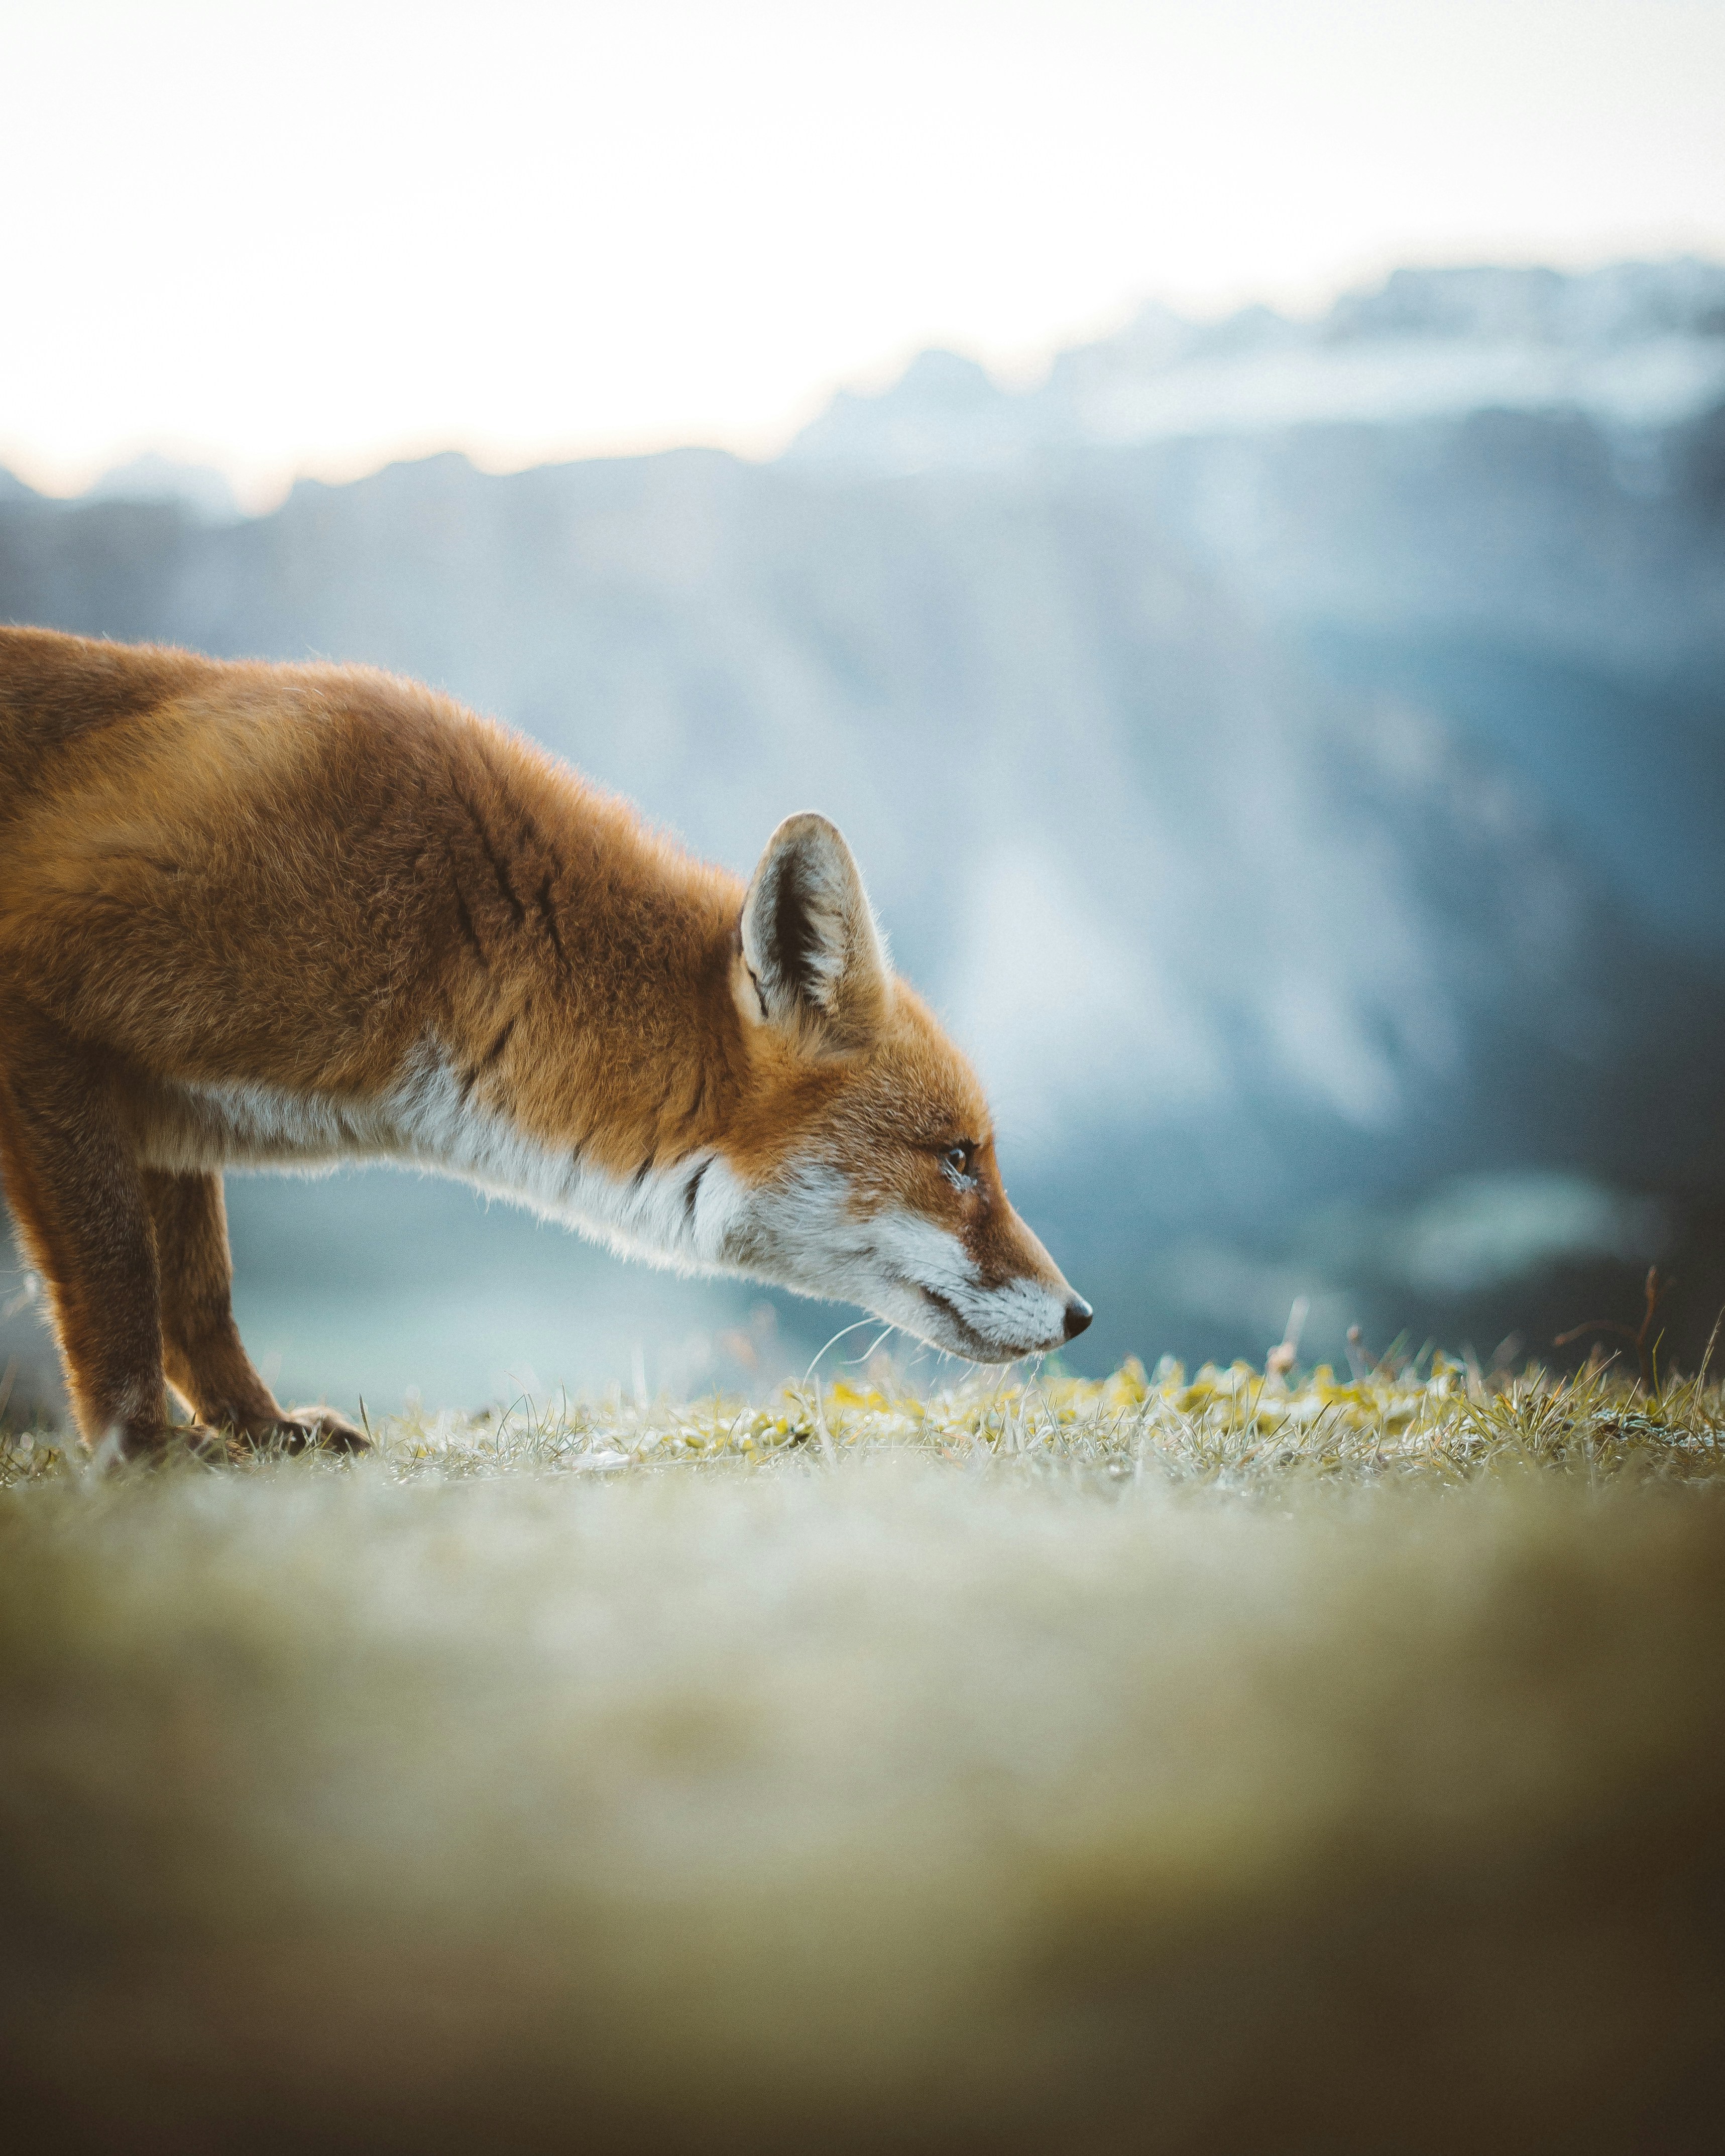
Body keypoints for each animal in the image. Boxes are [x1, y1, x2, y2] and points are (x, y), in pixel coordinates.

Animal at [0, 626, 1091, 1457]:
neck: (442, 933)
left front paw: (259, 1431)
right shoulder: (43, 989)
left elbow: (198, 1296)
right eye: (958, 1158)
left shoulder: (169, 1110)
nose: (1081, 1312)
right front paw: (145, 1454)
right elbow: (122, 1283)